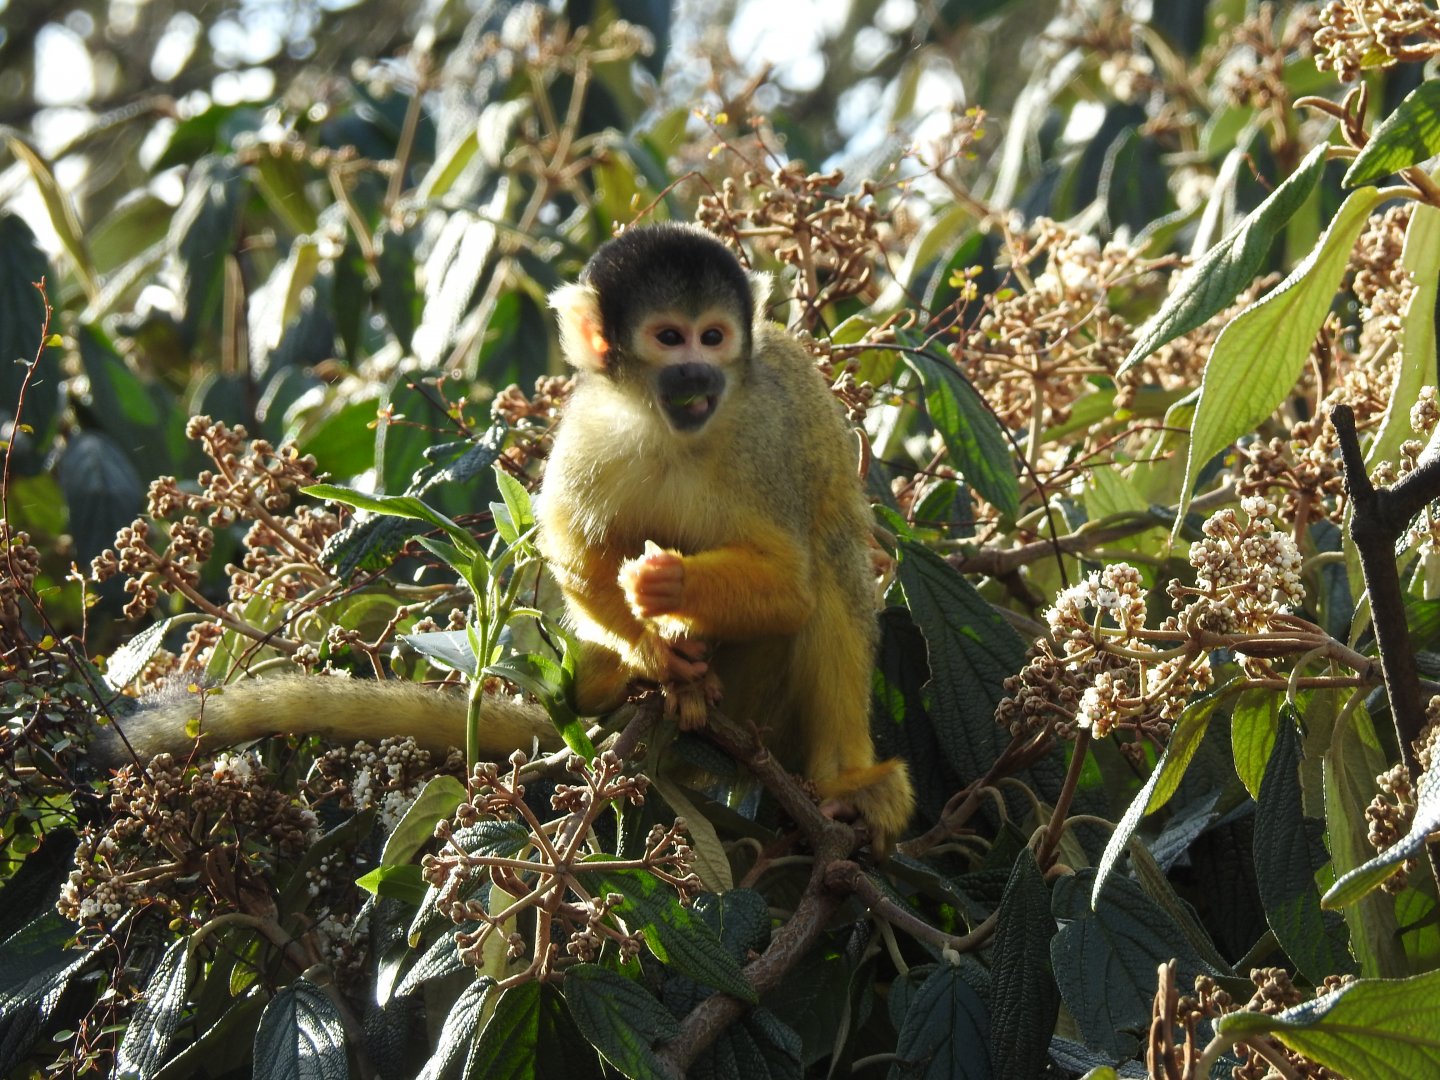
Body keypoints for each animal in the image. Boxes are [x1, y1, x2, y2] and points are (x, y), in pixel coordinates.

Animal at [90, 223, 914, 848]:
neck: (671, 428)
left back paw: (846, 778)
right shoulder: (591, 432)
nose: (698, 376)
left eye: (713, 337)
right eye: (670, 337)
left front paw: (672, 587)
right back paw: (624, 681)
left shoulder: (760, 437)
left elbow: (792, 587)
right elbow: (572, 550)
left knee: (834, 561)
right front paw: (653, 652)